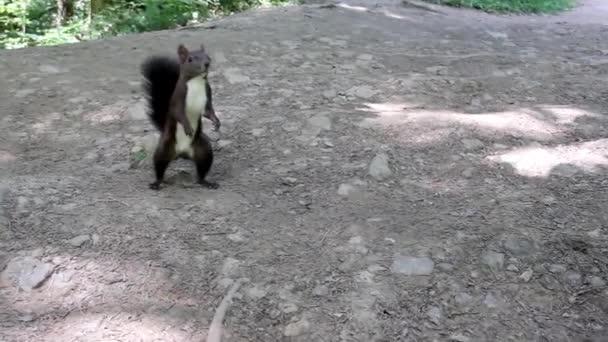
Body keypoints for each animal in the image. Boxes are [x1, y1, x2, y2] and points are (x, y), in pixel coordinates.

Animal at [140, 43, 221, 190]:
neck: (196, 82)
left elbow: (208, 111)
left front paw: (216, 122)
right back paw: (156, 183)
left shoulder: (208, 94)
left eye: (208, 57)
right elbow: (179, 114)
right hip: (165, 148)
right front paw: (188, 127)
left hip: (203, 151)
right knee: (159, 165)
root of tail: (182, 153)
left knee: (202, 169)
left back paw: (207, 182)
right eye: (190, 59)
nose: (207, 64)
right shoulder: (178, 98)